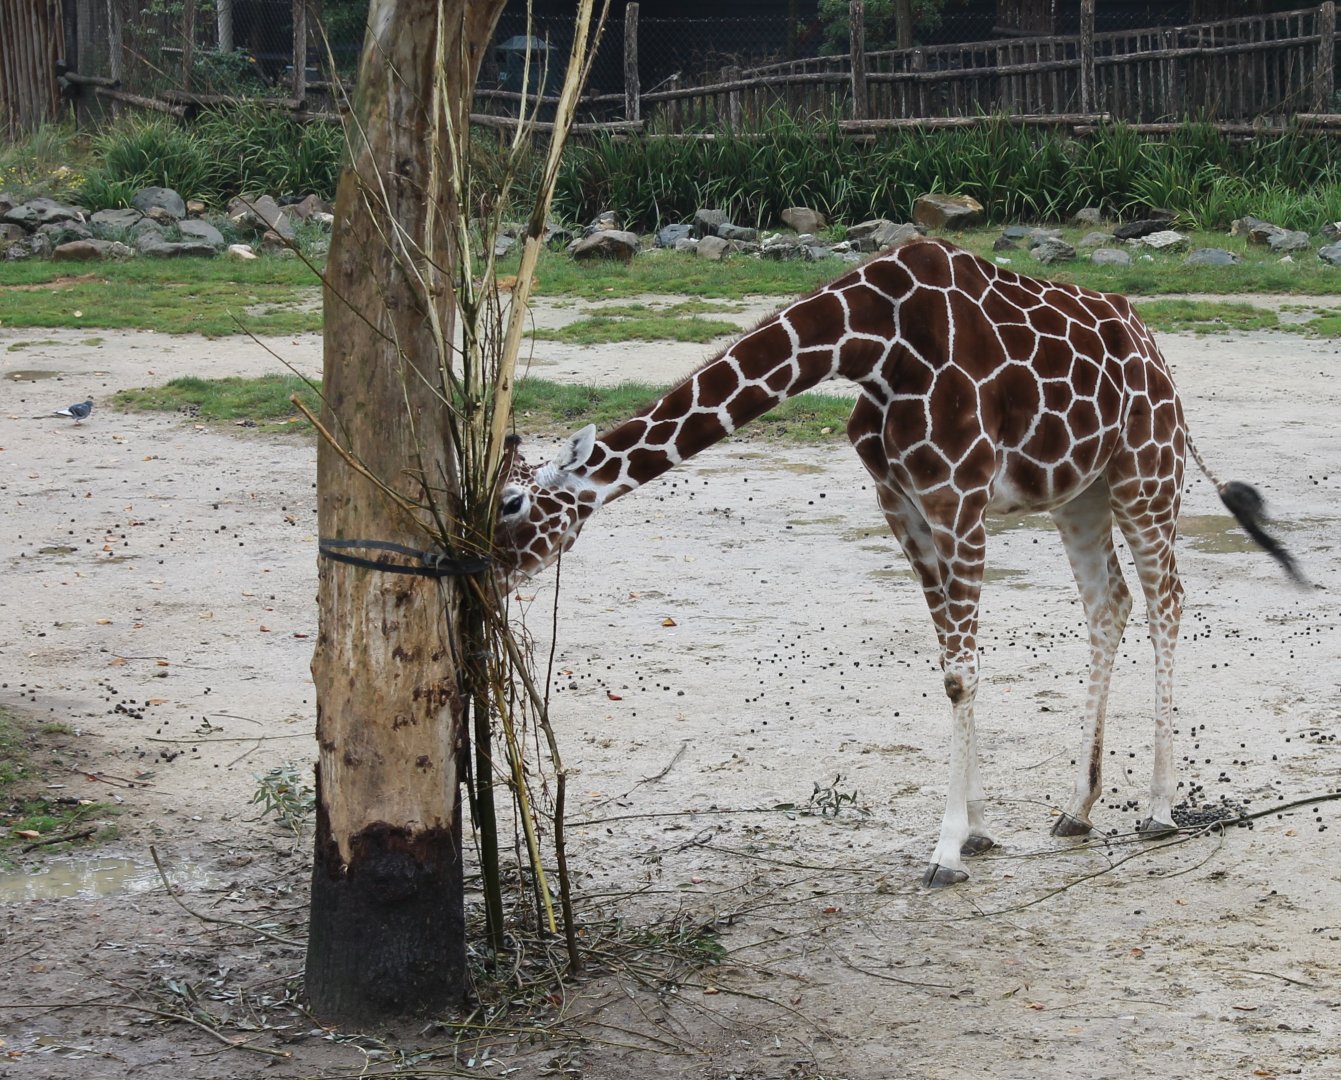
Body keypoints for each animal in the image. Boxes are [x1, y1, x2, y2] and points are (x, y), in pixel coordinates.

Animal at [494, 237, 1301, 887]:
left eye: (510, 502)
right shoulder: (900, 503)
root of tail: (1152, 344)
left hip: (1145, 470)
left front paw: (944, 852)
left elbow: (961, 672)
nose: (487, 576)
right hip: (1082, 489)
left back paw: (1160, 809)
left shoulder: (958, 496)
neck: (868, 344)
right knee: (1111, 602)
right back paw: (1077, 807)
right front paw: (975, 832)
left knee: (1167, 600)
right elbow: (950, 665)